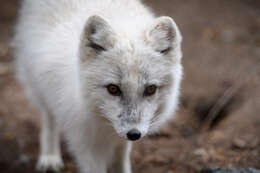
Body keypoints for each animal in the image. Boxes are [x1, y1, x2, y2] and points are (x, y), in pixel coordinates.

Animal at [12, 0, 183, 173]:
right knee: (49, 120)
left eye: (150, 89)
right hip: (41, 88)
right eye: (113, 89)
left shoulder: (120, 139)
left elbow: (120, 161)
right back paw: (50, 157)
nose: (134, 134)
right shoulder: (85, 140)